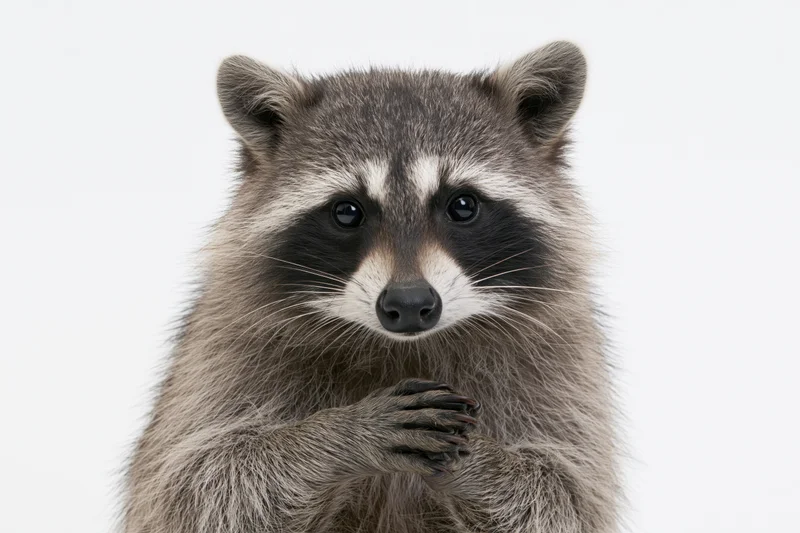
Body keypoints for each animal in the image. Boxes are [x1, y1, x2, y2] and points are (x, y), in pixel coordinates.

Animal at [122, 41, 618, 533]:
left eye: (462, 205)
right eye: (347, 212)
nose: (410, 303)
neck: (404, 347)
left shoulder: (560, 356)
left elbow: (564, 495)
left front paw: (481, 460)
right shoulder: (225, 344)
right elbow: (198, 485)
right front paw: (338, 433)